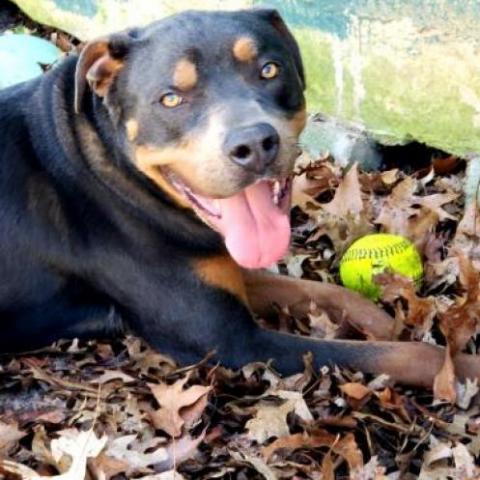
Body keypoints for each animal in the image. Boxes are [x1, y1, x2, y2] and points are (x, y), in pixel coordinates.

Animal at [0, 8, 480, 386]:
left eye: (269, 70)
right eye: (170, 99)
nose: (253, 144)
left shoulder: (224, 267)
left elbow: (327, 292)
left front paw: (385, 321)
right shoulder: (231, 340)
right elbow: (405, 355)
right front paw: (460, 369)